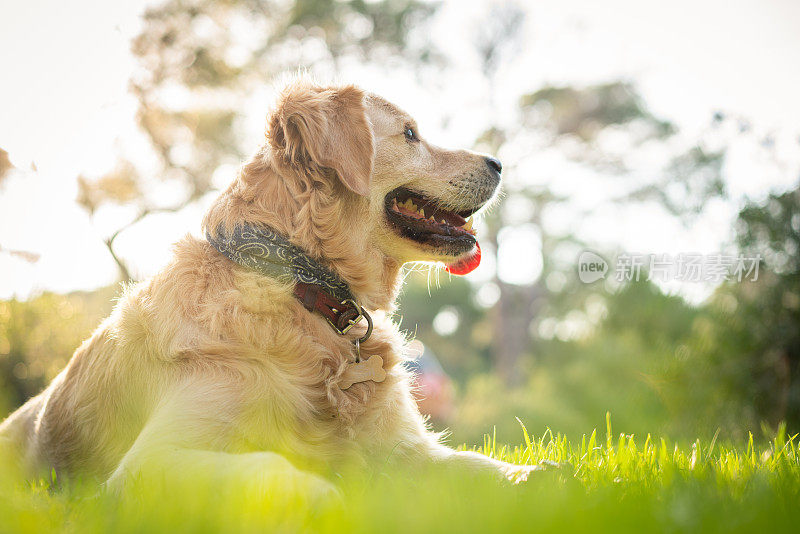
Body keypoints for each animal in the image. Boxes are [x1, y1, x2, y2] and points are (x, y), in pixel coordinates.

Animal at [0, 79, 540, 498]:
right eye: (409, 134)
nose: (498, 163)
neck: (306, 286)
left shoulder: (407, 448)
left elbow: (479, 464)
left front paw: (536, 474)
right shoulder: (148, 462)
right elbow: (278, 466)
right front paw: (330, 497)